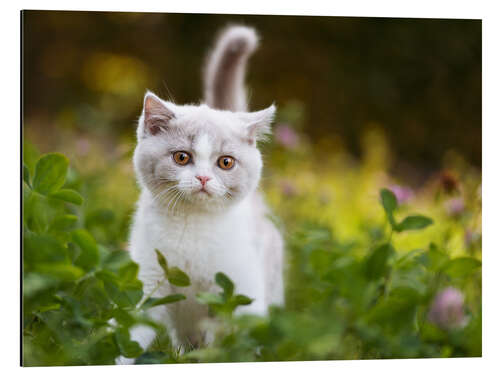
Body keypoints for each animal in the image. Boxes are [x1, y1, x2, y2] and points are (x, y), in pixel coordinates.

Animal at [115, 24, 284, 364]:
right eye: (182, 157)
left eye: (225, 162)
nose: (204, 177)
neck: (192, 224)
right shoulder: (150, 278)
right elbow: (132, 327)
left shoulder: (240, 285)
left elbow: (238, 336)